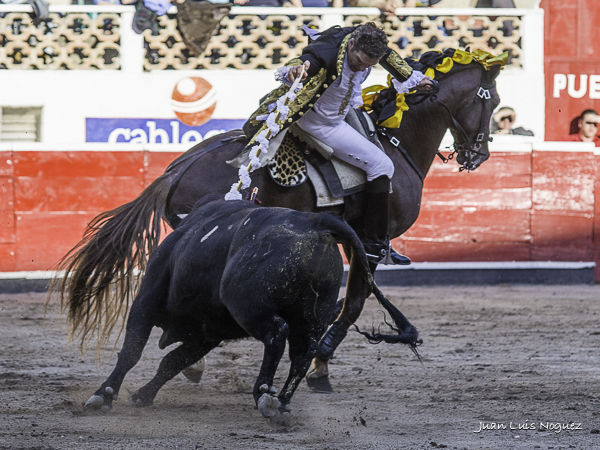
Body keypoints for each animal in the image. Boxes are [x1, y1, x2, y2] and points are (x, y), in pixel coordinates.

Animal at [51, 56, 502, 392]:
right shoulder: (371, 243)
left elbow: (345, 302)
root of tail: (178, 170)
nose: (478, 154)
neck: (397, 141)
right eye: (492, 100)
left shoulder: (349, 240)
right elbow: (354, 303)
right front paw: (320, 367)